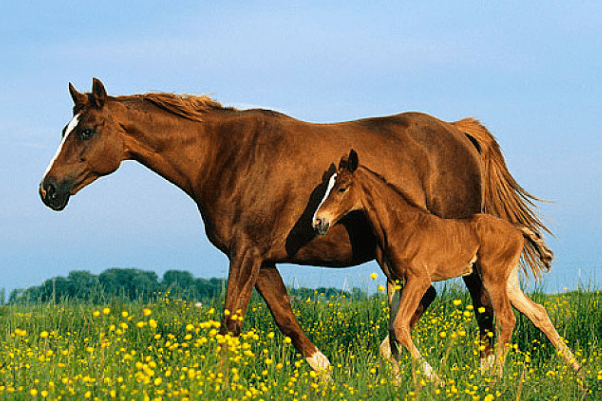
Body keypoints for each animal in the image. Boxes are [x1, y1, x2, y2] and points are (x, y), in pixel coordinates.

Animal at [38, 79, 548, 376]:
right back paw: (392, 360)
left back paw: (483, 374)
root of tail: (457, 130)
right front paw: (323, 369)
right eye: (65, 129)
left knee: (484, 309)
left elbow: (231, 321)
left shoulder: (245, 254)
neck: (225, 155)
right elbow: (283, 315)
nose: (48, 189)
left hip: (468, 256)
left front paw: (220, 381)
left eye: (86, 131)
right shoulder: (261, 258)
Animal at [312, 149, 580, 382]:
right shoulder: (393, 281)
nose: (318, 222)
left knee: (507, 318)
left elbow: (400, 326)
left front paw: (434, 379)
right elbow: (391, 327)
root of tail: (517, 229)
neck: (400, 226)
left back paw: (496, 378)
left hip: (491, 276)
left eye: (342, 188)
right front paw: (396, 382)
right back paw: (577, 370)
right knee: (538, 312)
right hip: (508, 281)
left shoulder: (419, 280)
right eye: (327, 187)